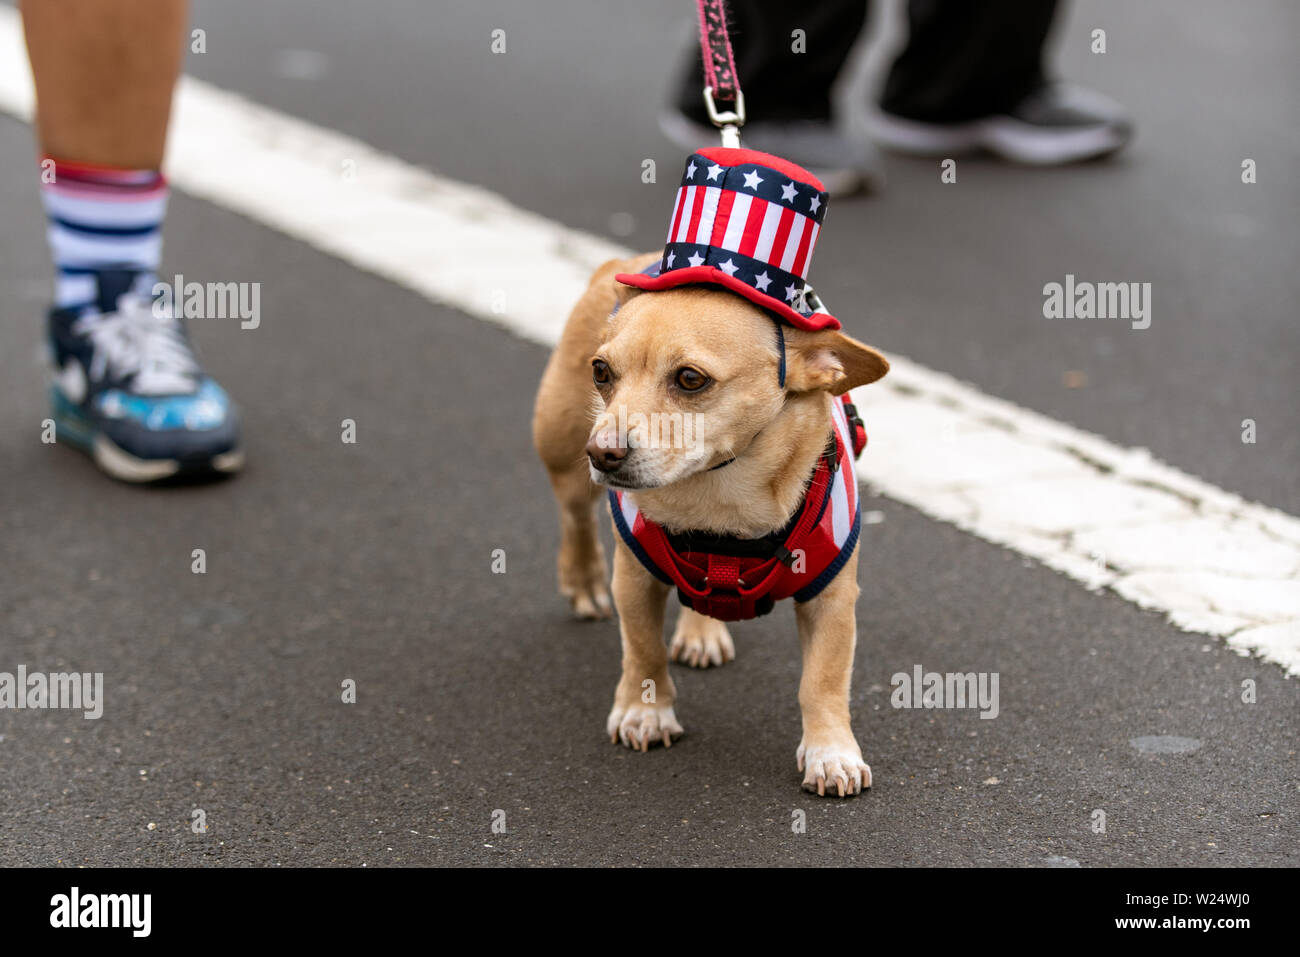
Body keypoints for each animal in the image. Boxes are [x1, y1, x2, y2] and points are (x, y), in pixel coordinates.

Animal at [533, 250, 889, 795]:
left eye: (690, 379)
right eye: (601, 371)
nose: (601, 453)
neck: (719, 504)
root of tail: (628, 260)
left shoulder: (831, 600)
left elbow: (824, 680)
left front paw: (831, 753)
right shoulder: (633, 579)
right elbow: (643, 651)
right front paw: (644, 714)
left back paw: (702, 630)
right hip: (559, 443)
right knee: (574, 516)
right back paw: (584, 582)